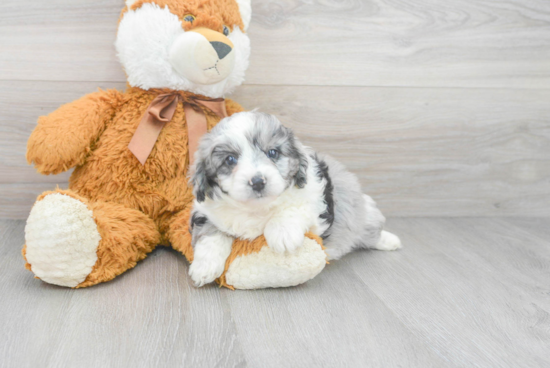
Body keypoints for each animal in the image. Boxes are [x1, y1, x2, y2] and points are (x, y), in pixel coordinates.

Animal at [189, 110, 402, 286]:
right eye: (230, 160)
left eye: (272, 153)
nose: (257, 182)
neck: (257, 208)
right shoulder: (205, 212)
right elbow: (211, 234)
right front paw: (204, 267)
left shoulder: (317, 204)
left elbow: (294, 208)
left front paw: (282, 234)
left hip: (362, 212)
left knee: (370, 230)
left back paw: (390, 240)